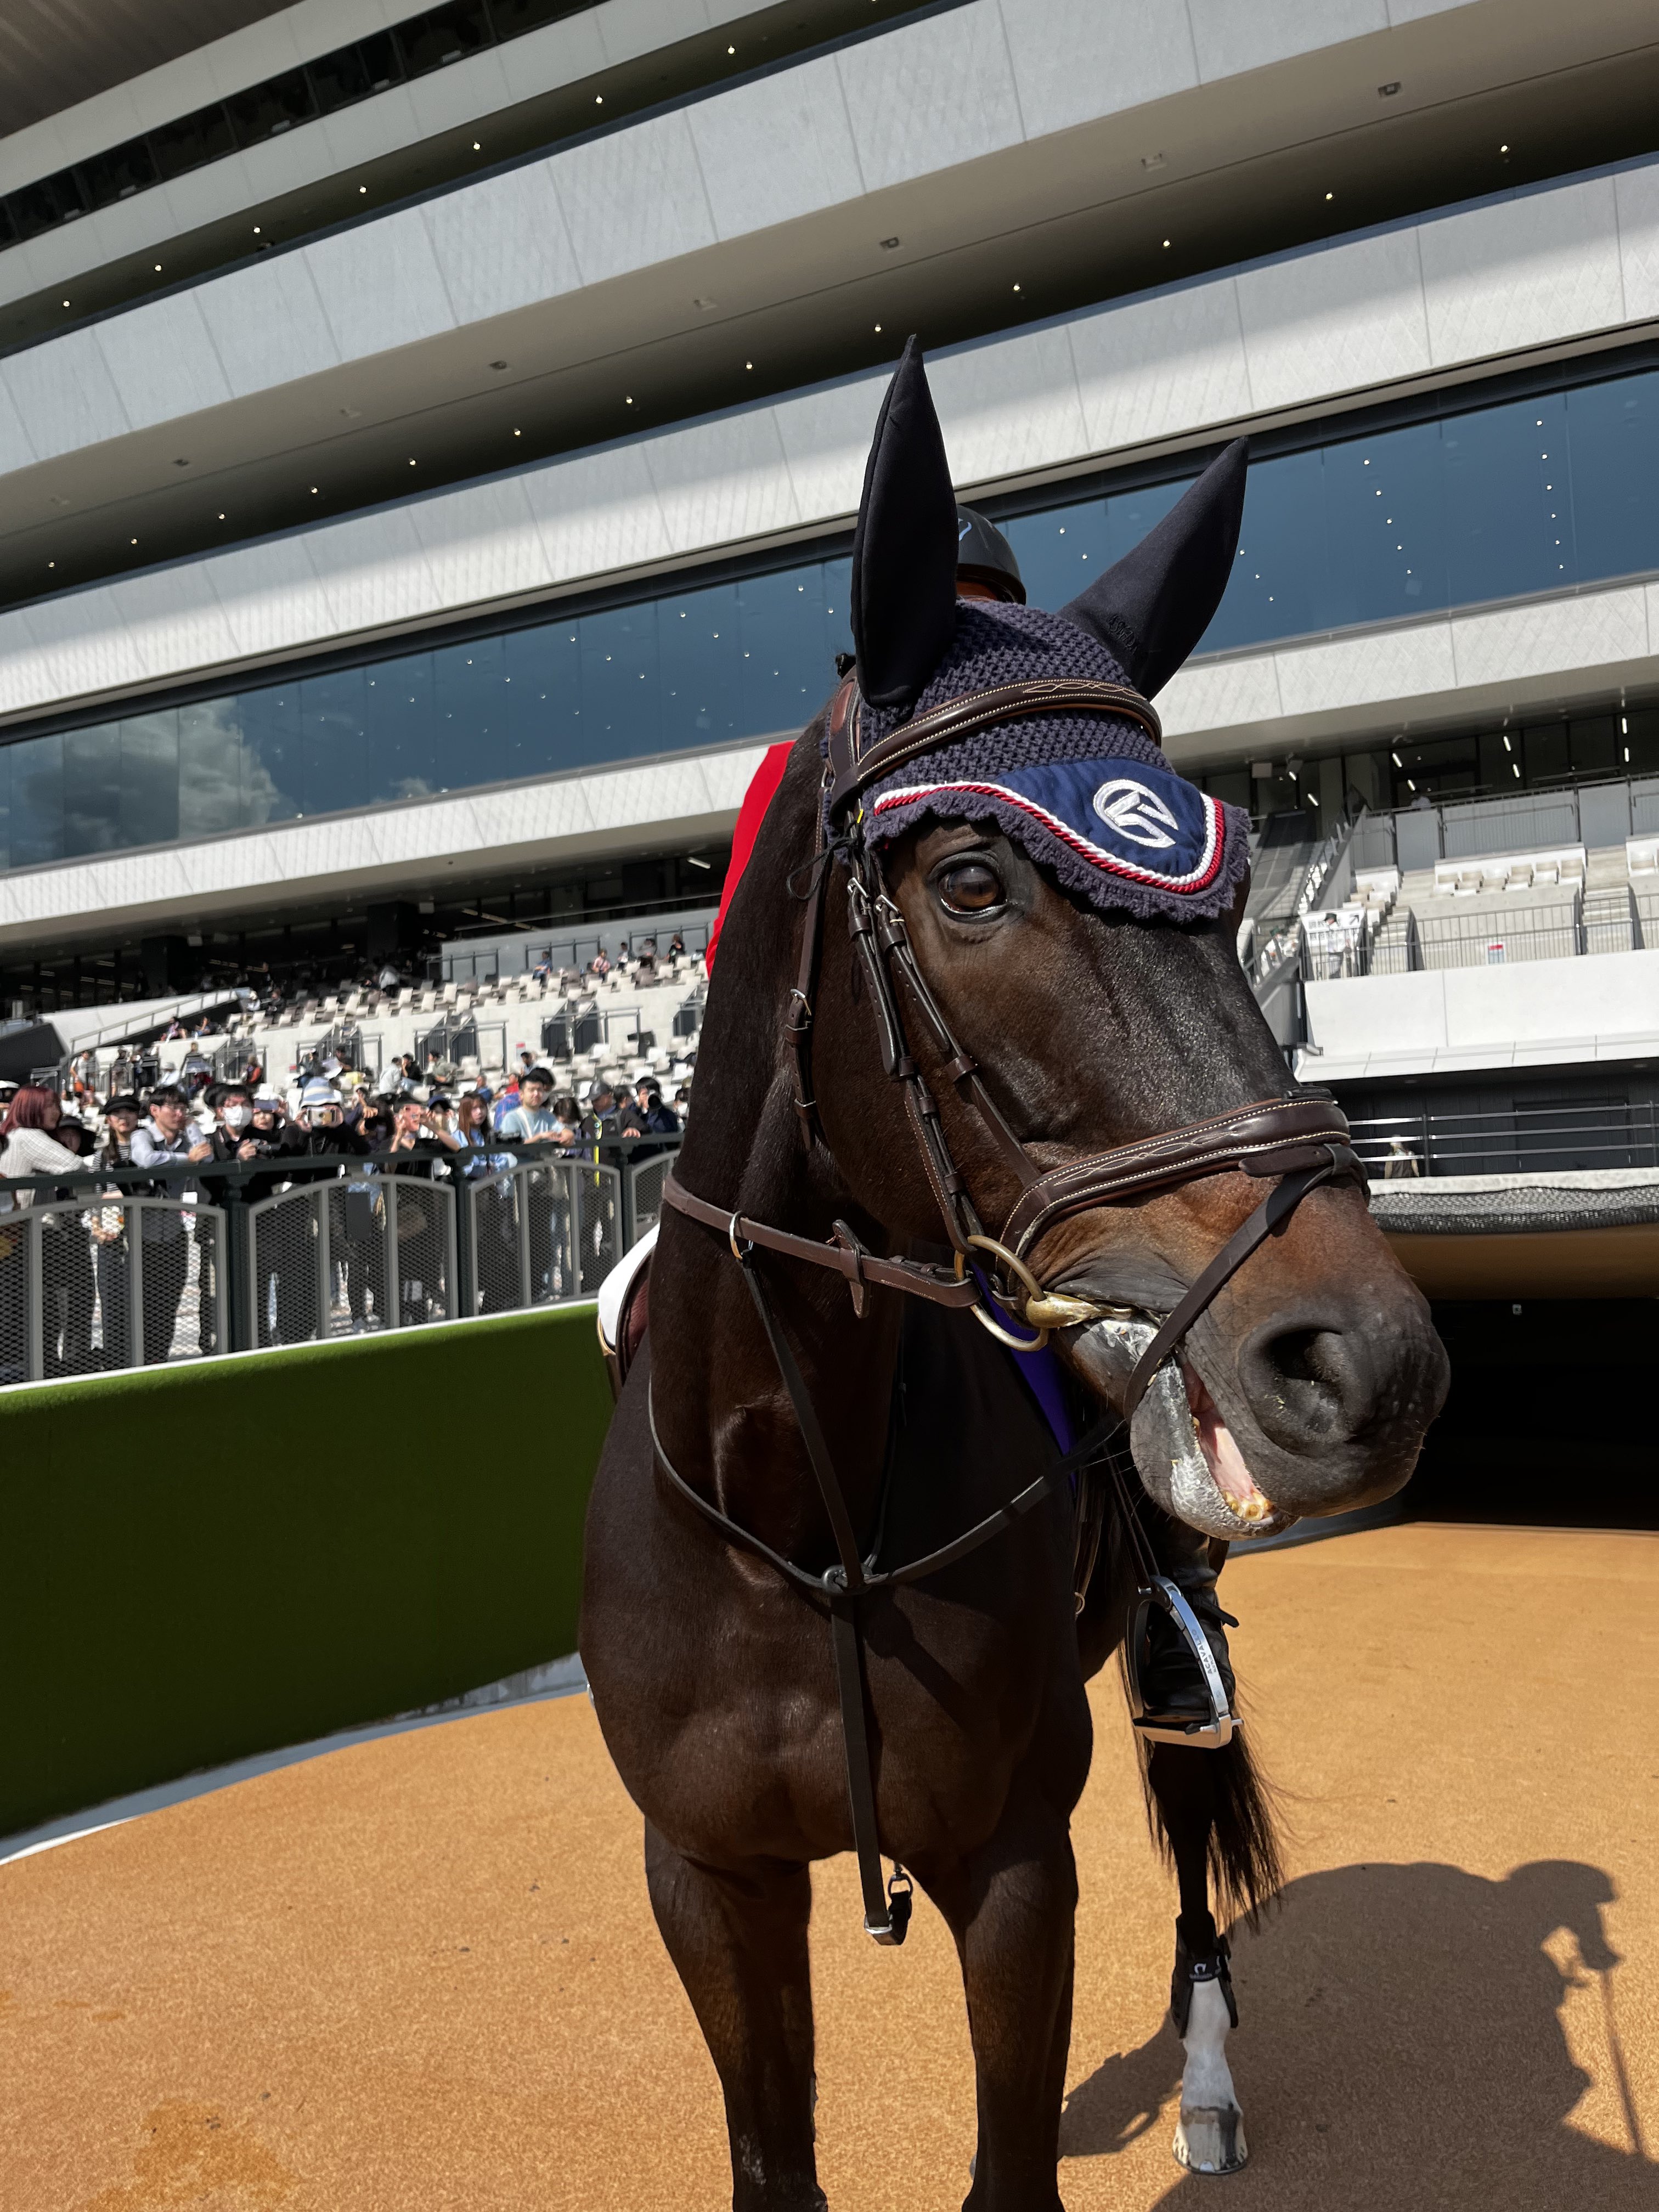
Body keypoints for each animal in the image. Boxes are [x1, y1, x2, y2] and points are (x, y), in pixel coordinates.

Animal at [580, 341, 1448, 2210]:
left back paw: (1206, 2088)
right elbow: (775, 2162)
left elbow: (1008, 2163)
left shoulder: (1012, 1864)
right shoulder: (706, 1880)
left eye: (1238, 881)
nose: (1369, 1360)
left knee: (1193, 1860)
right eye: (972, 879)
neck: (803, 1512)